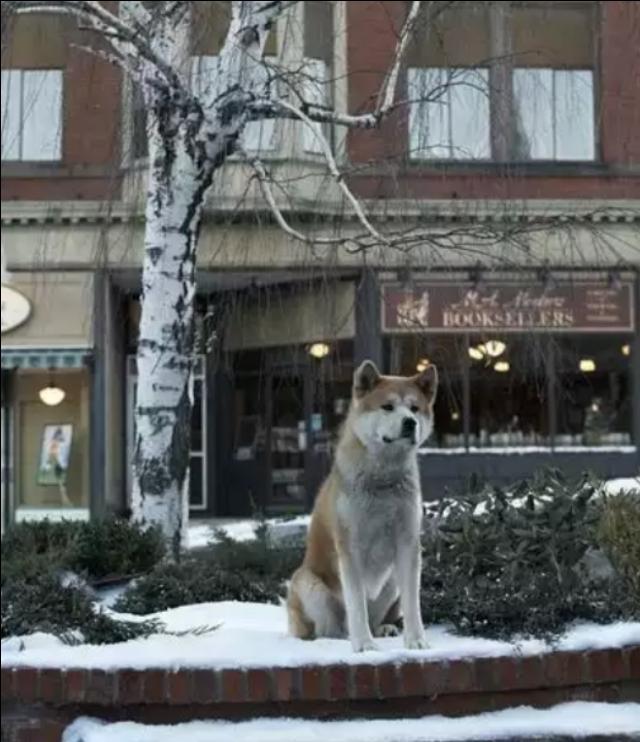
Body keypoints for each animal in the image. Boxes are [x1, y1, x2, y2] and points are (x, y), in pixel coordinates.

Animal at [288, 358, 438, 652]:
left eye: (415, 408)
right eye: (388, 406)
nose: (410, 422)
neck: (382, 483)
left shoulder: (408, 542)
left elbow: (412, 603)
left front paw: (416, 640)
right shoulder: (350, 547)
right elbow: (356, 604)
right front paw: (364, 645)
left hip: (390, 583)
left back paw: (384, 629)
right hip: (309, 585)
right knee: (330, 629)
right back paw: (338, 639)